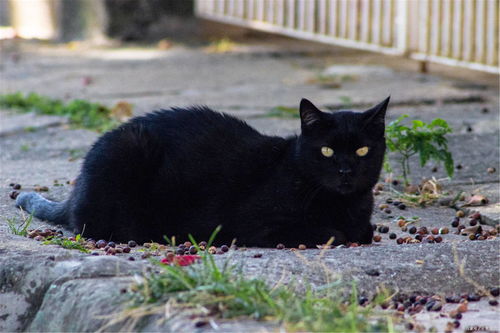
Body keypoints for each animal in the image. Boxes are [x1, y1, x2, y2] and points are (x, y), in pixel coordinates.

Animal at [15, 96, 388, 246]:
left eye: (362, 150)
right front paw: (340, 231)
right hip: (128, 149)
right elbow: (335, 233)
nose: (346, 171)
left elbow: (363, 229)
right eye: (326, 151)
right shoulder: (258, 225)